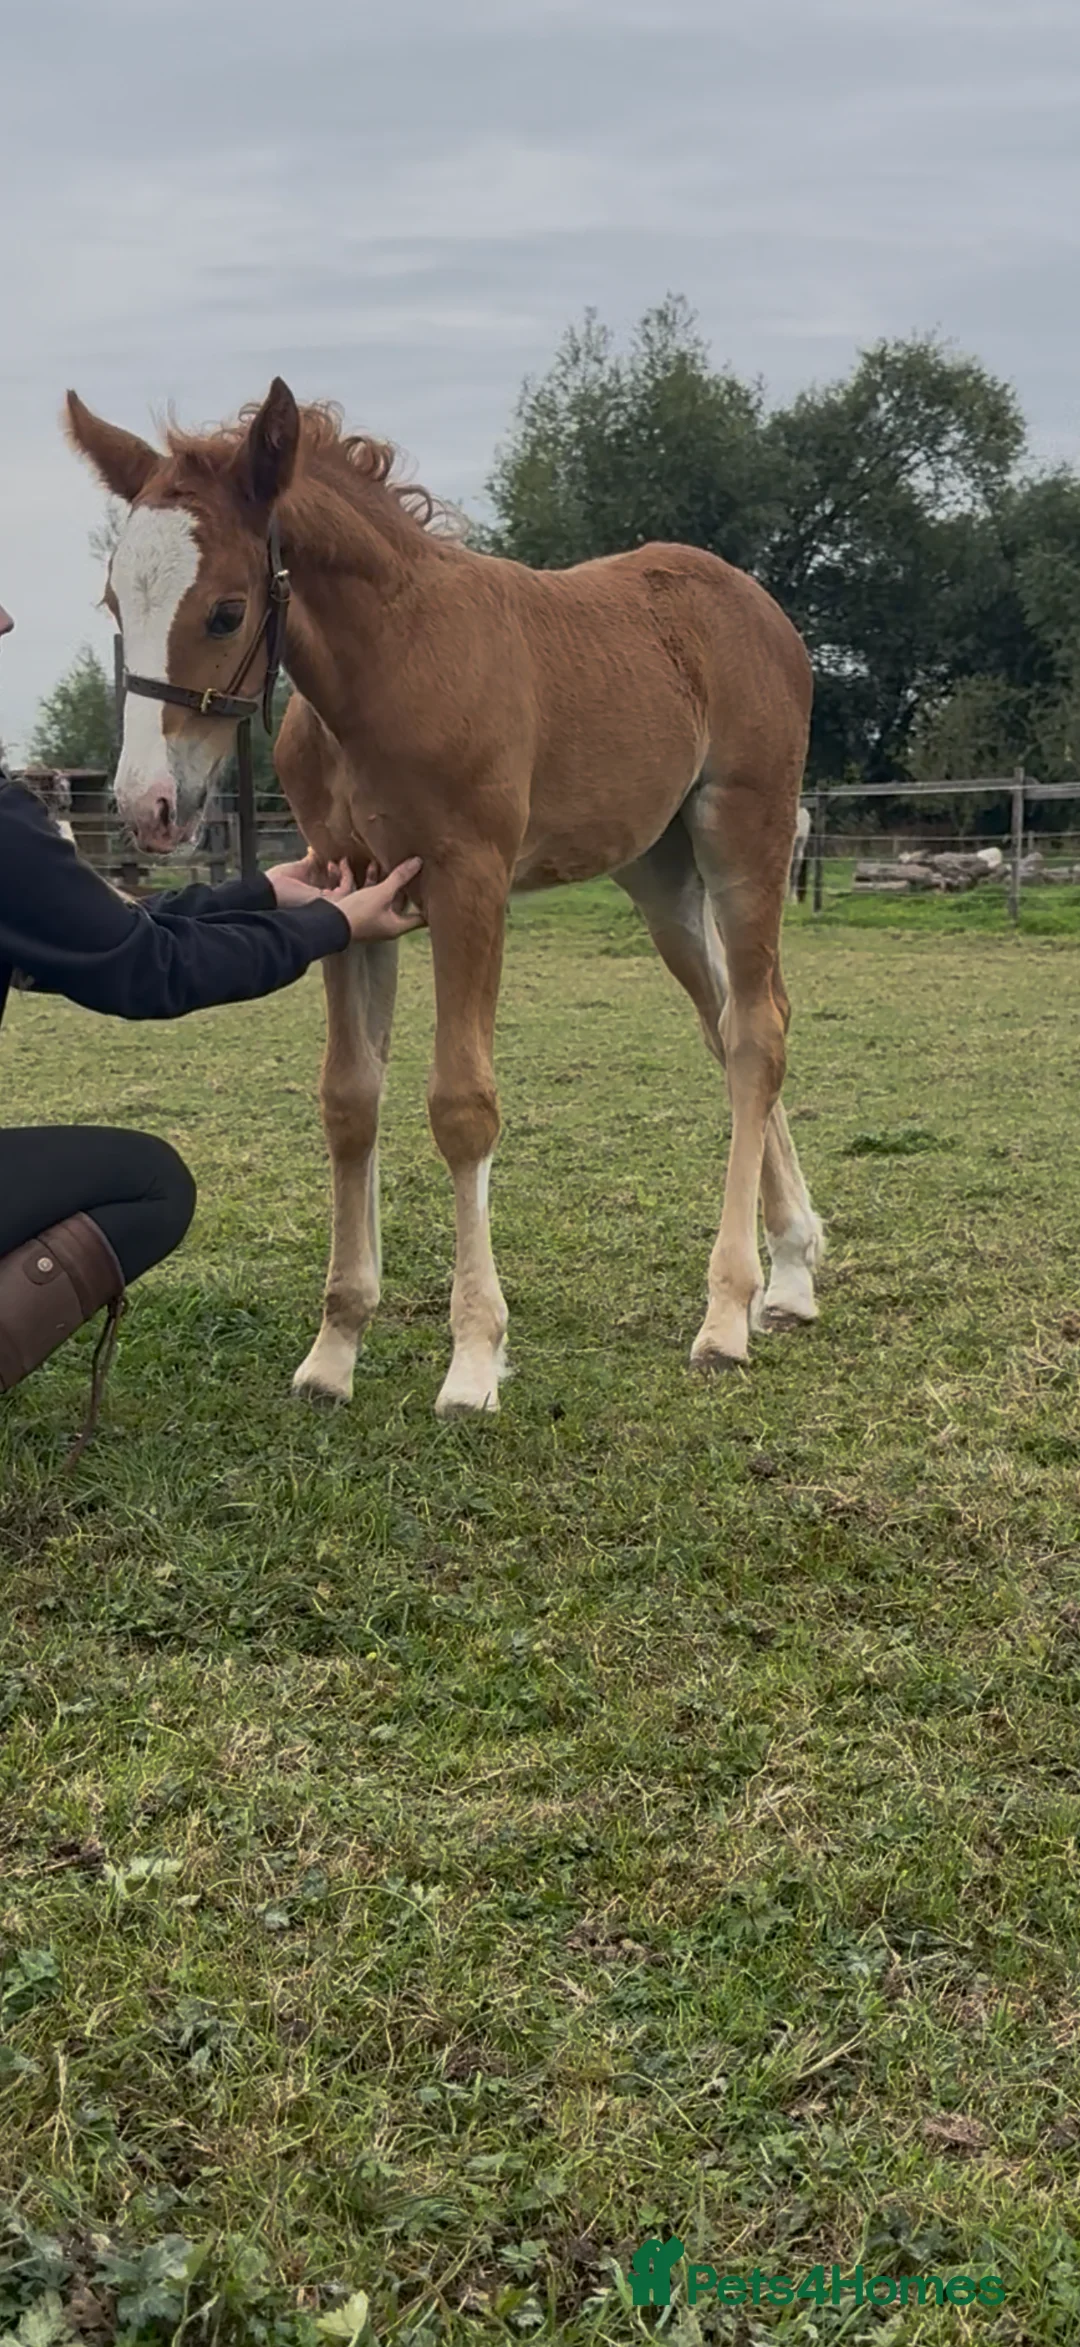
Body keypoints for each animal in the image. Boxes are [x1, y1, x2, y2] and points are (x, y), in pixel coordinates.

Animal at [65, 377, 825, 1417]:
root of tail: (762, 609)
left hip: (743, 834)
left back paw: (727, 1312)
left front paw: (473, 1359)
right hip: (660, 871)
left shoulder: (472, 882)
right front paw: (335, 1349)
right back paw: (790, 1271)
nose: (148, 806)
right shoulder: (346, 888)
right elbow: (350, 1100)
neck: (390, 668)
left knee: (756, 1031)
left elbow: (462, 1105)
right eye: (113, 601)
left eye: (225, 611)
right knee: (730, 1024)